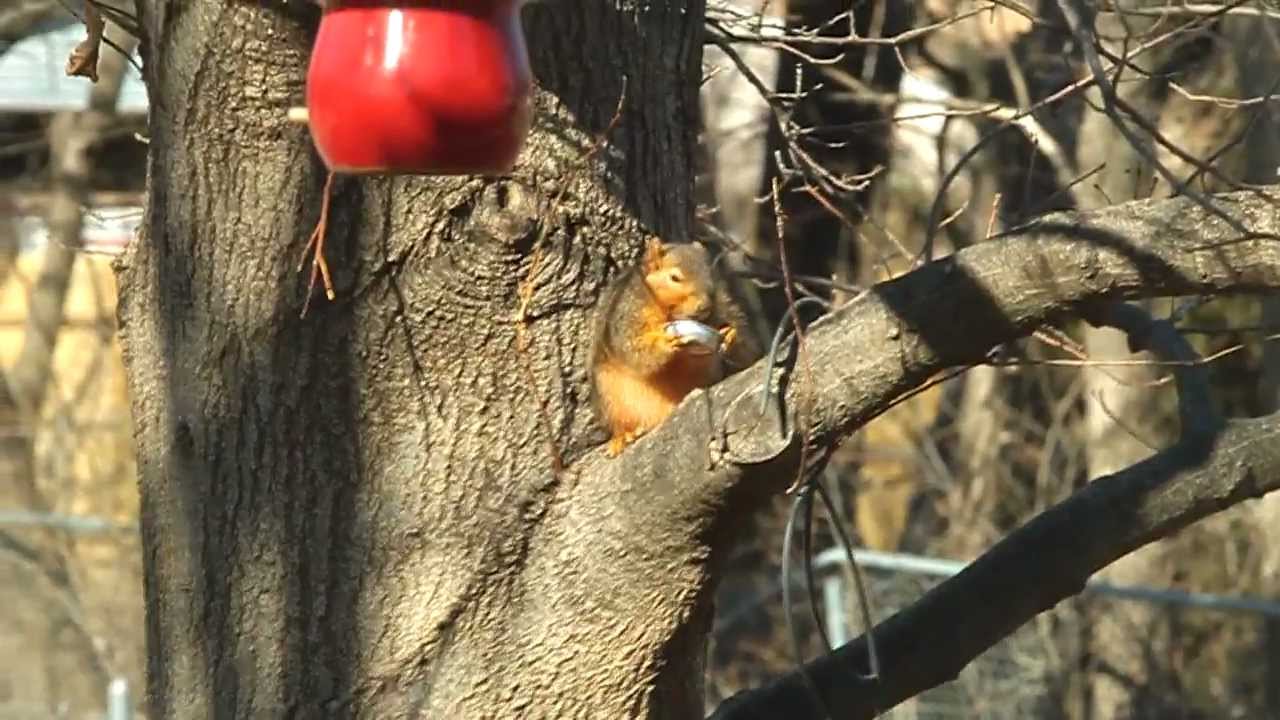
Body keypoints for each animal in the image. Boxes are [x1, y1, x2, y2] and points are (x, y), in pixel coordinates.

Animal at [590, 238, 760, 456]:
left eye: (710, 274)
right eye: (674, 278)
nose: (705, 305)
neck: (668, 311)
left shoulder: (723, 306)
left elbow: (746, 349)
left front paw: (731, 335)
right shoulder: (624, 316)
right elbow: (633, 347)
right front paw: (665, 342)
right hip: (610, 394)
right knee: (620, 420)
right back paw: (623, 436)